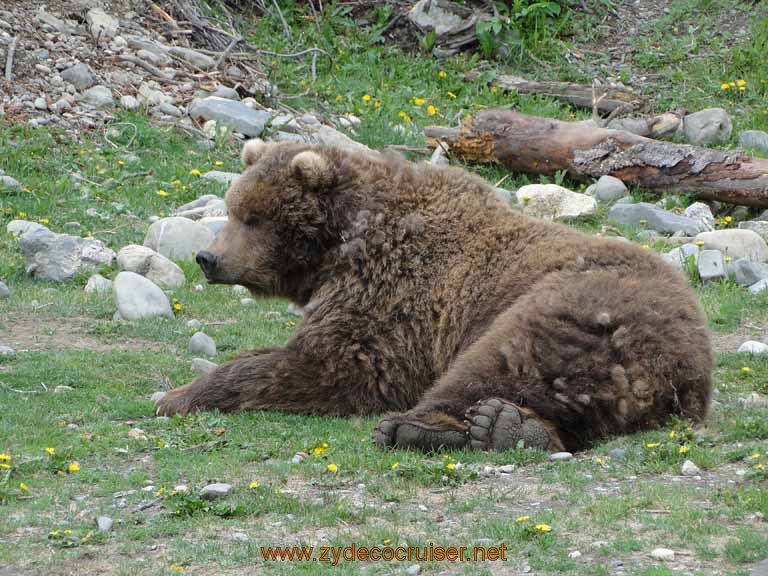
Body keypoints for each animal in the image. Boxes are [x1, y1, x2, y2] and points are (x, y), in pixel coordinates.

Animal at [153, 140, 712, 454]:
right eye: (233, 208)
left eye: (254, 217)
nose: (207, 257)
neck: (342, 244)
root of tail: (672, 366)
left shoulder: (394, 297)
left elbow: (337, 366)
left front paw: (176, 395)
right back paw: (510, 428)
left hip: (570, 305)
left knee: (498, 361)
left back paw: (426, 428)